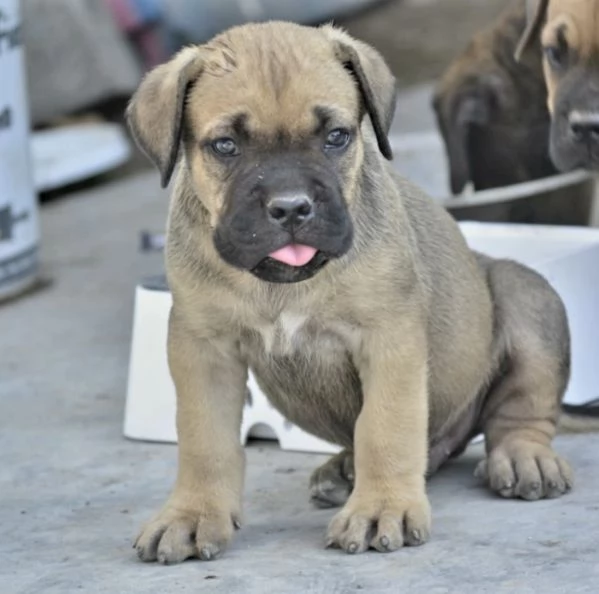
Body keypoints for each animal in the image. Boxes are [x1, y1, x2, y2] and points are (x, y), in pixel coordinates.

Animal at [127, 22, 580, 560]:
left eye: (336, 137)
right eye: (225, 146)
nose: (291, 207)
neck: (286, 285)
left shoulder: (389, 340)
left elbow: (385, 427)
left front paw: (382, 507)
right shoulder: (203, 350)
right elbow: (204, 439)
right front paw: (193, 514)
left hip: (524, 293)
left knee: (519, 409)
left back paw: (523, 457)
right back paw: (344, 470)